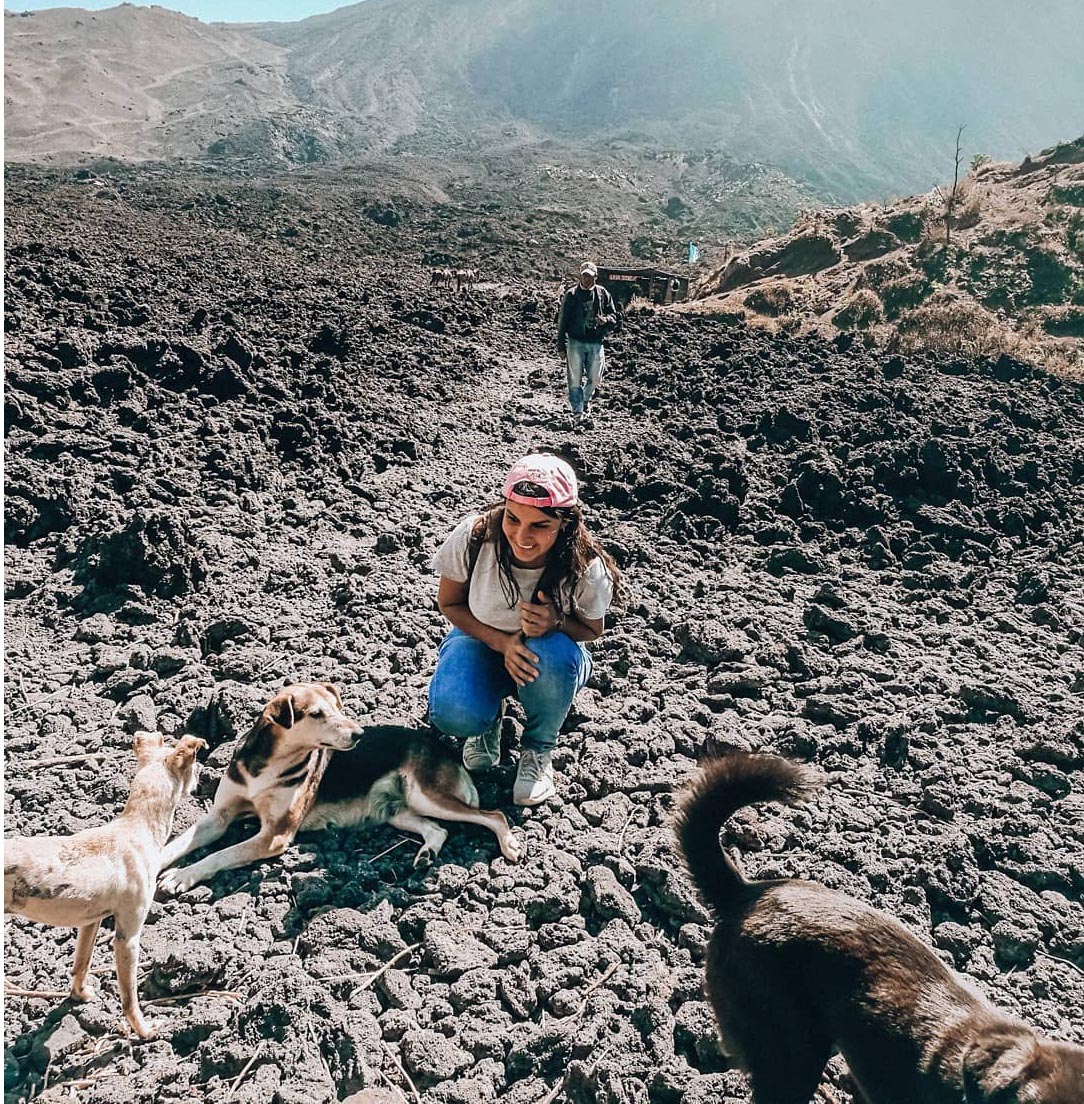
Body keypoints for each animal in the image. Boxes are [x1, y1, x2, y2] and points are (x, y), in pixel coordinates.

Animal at [5, 733, 207, 1033]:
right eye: (194, 767)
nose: (202, 775)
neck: (137, 825)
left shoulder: (90, 921)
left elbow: (81, 963)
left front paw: (79, 995)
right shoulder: (127, 937)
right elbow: (130, 998)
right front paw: (144, 1031)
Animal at [155, 675, 521, 892]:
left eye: (338, 707)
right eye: (317, 714)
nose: (359, 734)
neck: (269, 766)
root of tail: (443, 747)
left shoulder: (275, 836)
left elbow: (221, 854)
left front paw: (181, 875)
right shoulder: (218, 817)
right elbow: (179, 843)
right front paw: (154, 862)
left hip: (427, 794)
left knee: (494, 815)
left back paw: (510, 845)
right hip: (396, 810)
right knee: (438, 830)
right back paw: (425, 855)